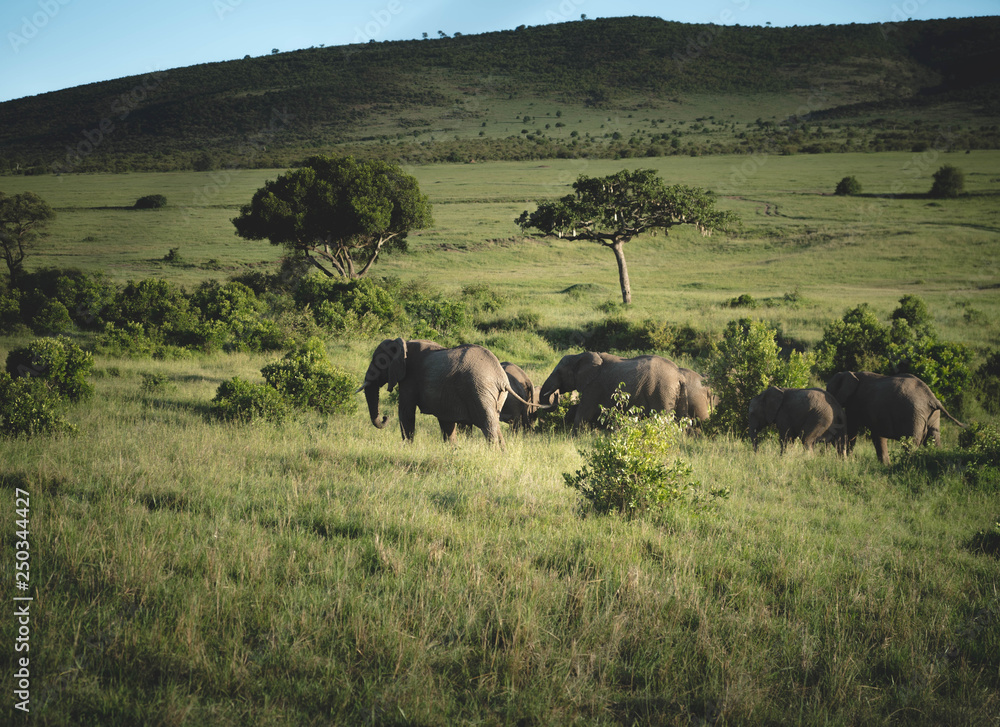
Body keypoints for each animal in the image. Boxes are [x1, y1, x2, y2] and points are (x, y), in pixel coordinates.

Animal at [537, 351, 711, 431]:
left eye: (559, 372)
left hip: (663, 392)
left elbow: (584, 412)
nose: (555, 394)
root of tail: (679, 375)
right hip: (680, 393)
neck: (579, 356)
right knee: (682, 419)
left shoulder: (594, 386)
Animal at [826, 371, 965, 464]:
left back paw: (907, 465)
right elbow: (877, 435)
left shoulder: (855, 402)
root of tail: (932, 398)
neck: (851, 373)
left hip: (913, 415)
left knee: (911, 444)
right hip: (933, 416)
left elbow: (852, 430)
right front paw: (885, 465)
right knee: (934, 440)